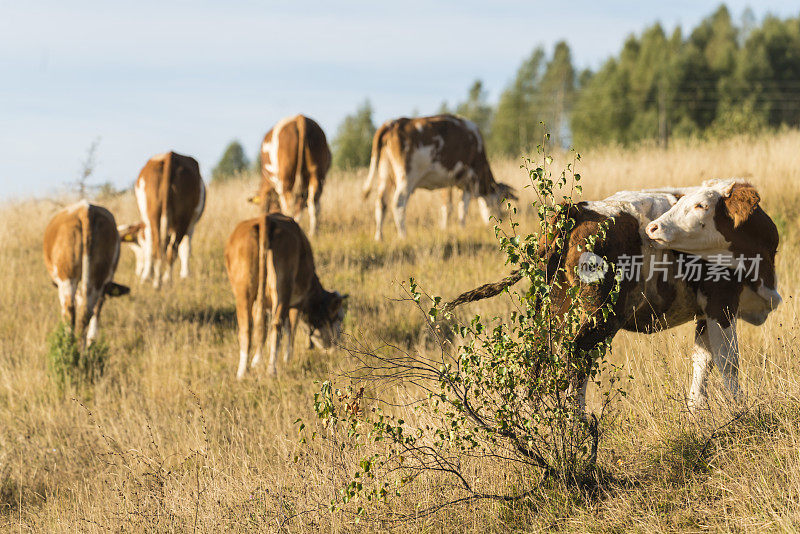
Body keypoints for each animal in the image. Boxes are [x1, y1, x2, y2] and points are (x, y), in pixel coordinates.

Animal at [43, 201, 130, 348]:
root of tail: (85, 210)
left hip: (67, 276)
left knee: (69, 311)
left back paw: (69, 346)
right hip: (97, 277)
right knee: (90, 310)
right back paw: (86, 345)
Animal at [119, 153, 208, 288]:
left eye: (137, 246)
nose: (138, 271)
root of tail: (169, 156)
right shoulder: (190, 226)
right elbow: (185, 248)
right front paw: (185, 275)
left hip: (155, 216)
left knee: (159, 248)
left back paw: (158, 281)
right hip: (182, 220)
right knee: (170, 249)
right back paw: (165, 280)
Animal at [227, 214, 348, 382]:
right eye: (339, 317)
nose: (336, 346)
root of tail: (265, 219)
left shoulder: (261, 304)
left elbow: (261, 328)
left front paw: (257, 361)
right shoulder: (297, 302)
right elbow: (291, 327)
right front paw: (287, 358)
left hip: (244, 289)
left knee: (247, 327)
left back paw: (242, 372)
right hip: (283, 286)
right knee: (277, 324)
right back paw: (272, 369)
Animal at [360, 114, 516, 241]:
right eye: (500, 202)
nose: (499, 220)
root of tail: (393, 123)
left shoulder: (448, 181)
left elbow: (447, 207)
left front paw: (444, 228)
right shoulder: (468, 180)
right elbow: (462, 208)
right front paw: (462, 228)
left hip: (385, 174)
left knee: (381, 203)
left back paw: (379, 237)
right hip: (406, 177)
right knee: (398, 204)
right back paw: (403, 235)